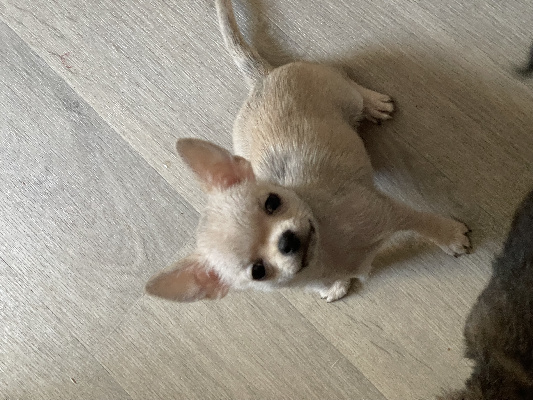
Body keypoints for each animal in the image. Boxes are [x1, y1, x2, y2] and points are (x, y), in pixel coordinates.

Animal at [145, 0, 472, 303]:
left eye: (273, 202)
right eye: (258, 271)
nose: (287, 241)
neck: (328, 246)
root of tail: (261, 77)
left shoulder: (391, 211)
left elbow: (424, 222)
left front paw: (452, 236)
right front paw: (336, 286)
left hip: (342, 92)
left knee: (352, 88)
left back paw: (373, 104)